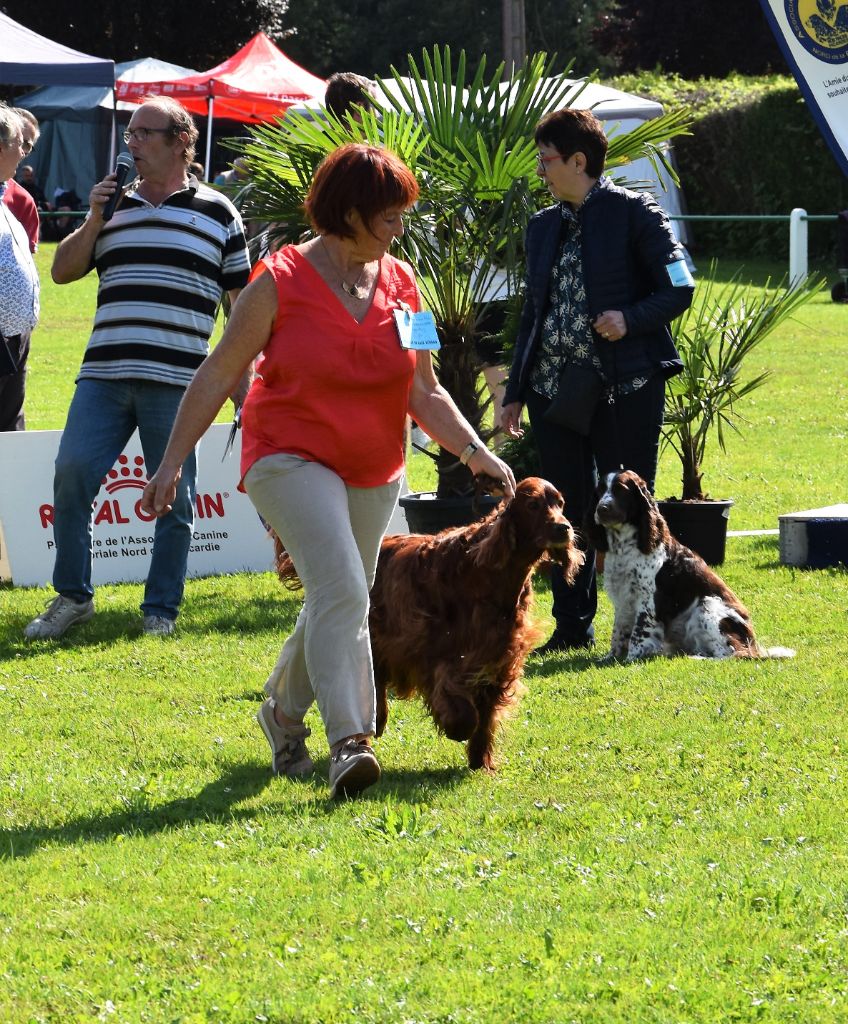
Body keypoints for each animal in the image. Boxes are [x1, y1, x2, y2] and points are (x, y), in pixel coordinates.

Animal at [274, 477, 584, 770]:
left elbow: (485, 717)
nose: (564, 528)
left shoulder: (499, 657)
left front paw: (480, 759)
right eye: (533, 505)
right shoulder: (440, 655)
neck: (487, 571)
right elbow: (463, 711)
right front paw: (456, 728)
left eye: (560, 503)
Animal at [584, 469, 795, 662]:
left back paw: (697, 658)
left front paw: (630, 660)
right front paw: (611, 657)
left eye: (621, 490)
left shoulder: (647, 599)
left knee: (732, 654)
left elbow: (639, 634)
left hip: (708, 605)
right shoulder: (623, 598)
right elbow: (618, 633)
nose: (602, 509)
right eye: (600, 491)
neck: (626, 546)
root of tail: (754, 645)